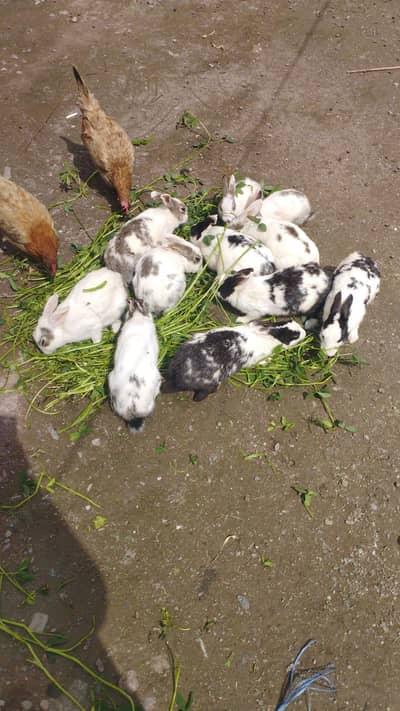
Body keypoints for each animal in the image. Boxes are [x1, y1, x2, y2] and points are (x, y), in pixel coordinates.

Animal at [162, 319, 306, 401]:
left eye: (292, 320)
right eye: (295, 335)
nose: (305, 332)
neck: (271, 335)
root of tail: (178, 378)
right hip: (211, 382)